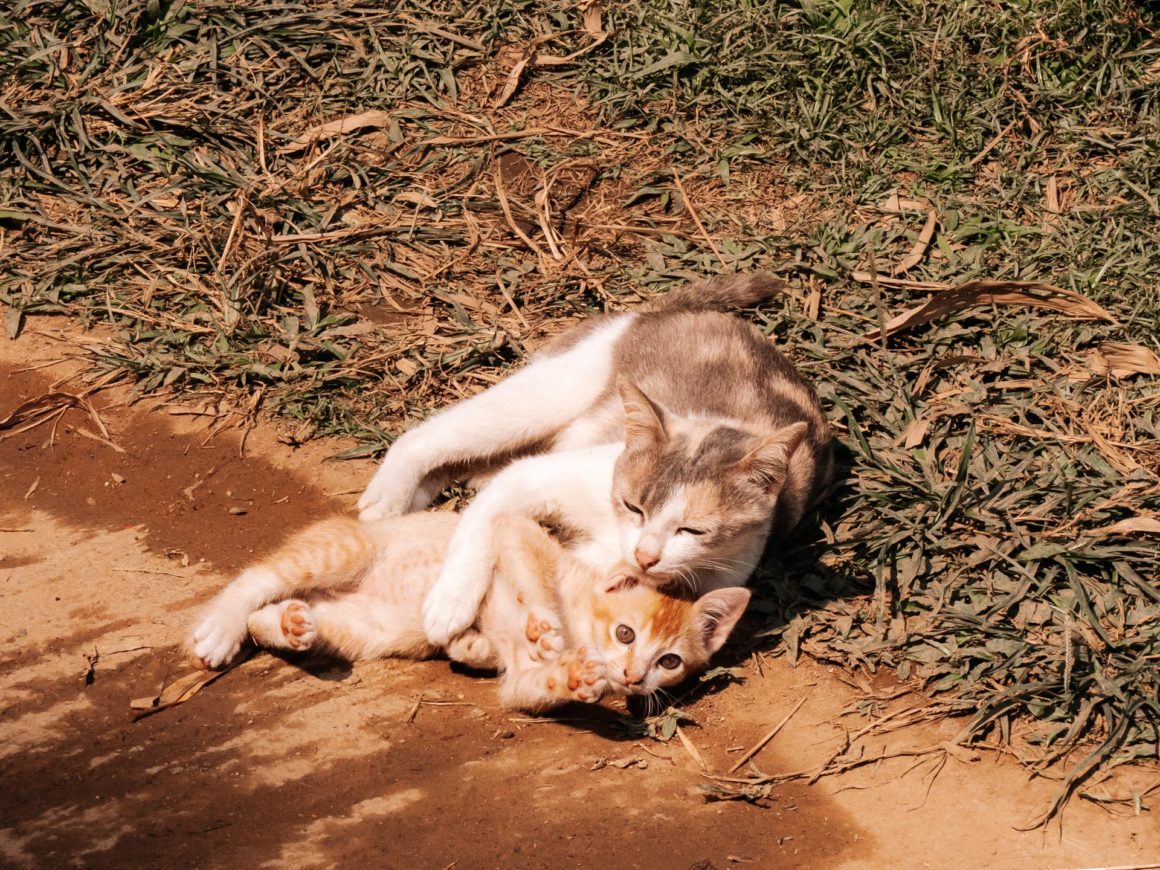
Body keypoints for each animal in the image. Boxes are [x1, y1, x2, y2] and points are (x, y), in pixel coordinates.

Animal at [190, 515, 747, 709]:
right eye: (626, 634)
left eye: (669, 662)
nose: (633, 678)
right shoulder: (515, 531)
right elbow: (532, 578)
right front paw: (549, 631)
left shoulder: (519, 681)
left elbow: (531, 684)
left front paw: (571, 675)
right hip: (343, 548)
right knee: (255, 579)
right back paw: (219, 630)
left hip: (353, 629)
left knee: (275, 616)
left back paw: (289, 624)